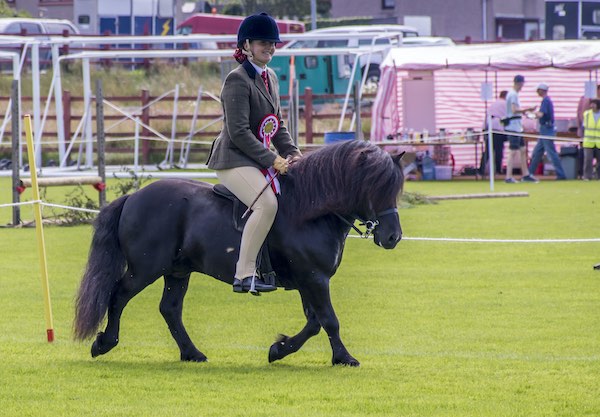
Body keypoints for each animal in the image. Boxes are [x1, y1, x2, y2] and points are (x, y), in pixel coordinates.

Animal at [74, 139, 404, 364]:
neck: (311, 211)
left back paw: (192, 353)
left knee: (170, 309)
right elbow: (329, 319)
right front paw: (344, 358)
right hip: (145, 269)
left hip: (177, 271)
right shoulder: (314, 278)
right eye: (374, 188)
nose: (393, 237)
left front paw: (278, 349)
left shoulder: (308, 281)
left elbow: (314, 322)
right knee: (118, 295)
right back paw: (104, 343)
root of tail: (133, 198)